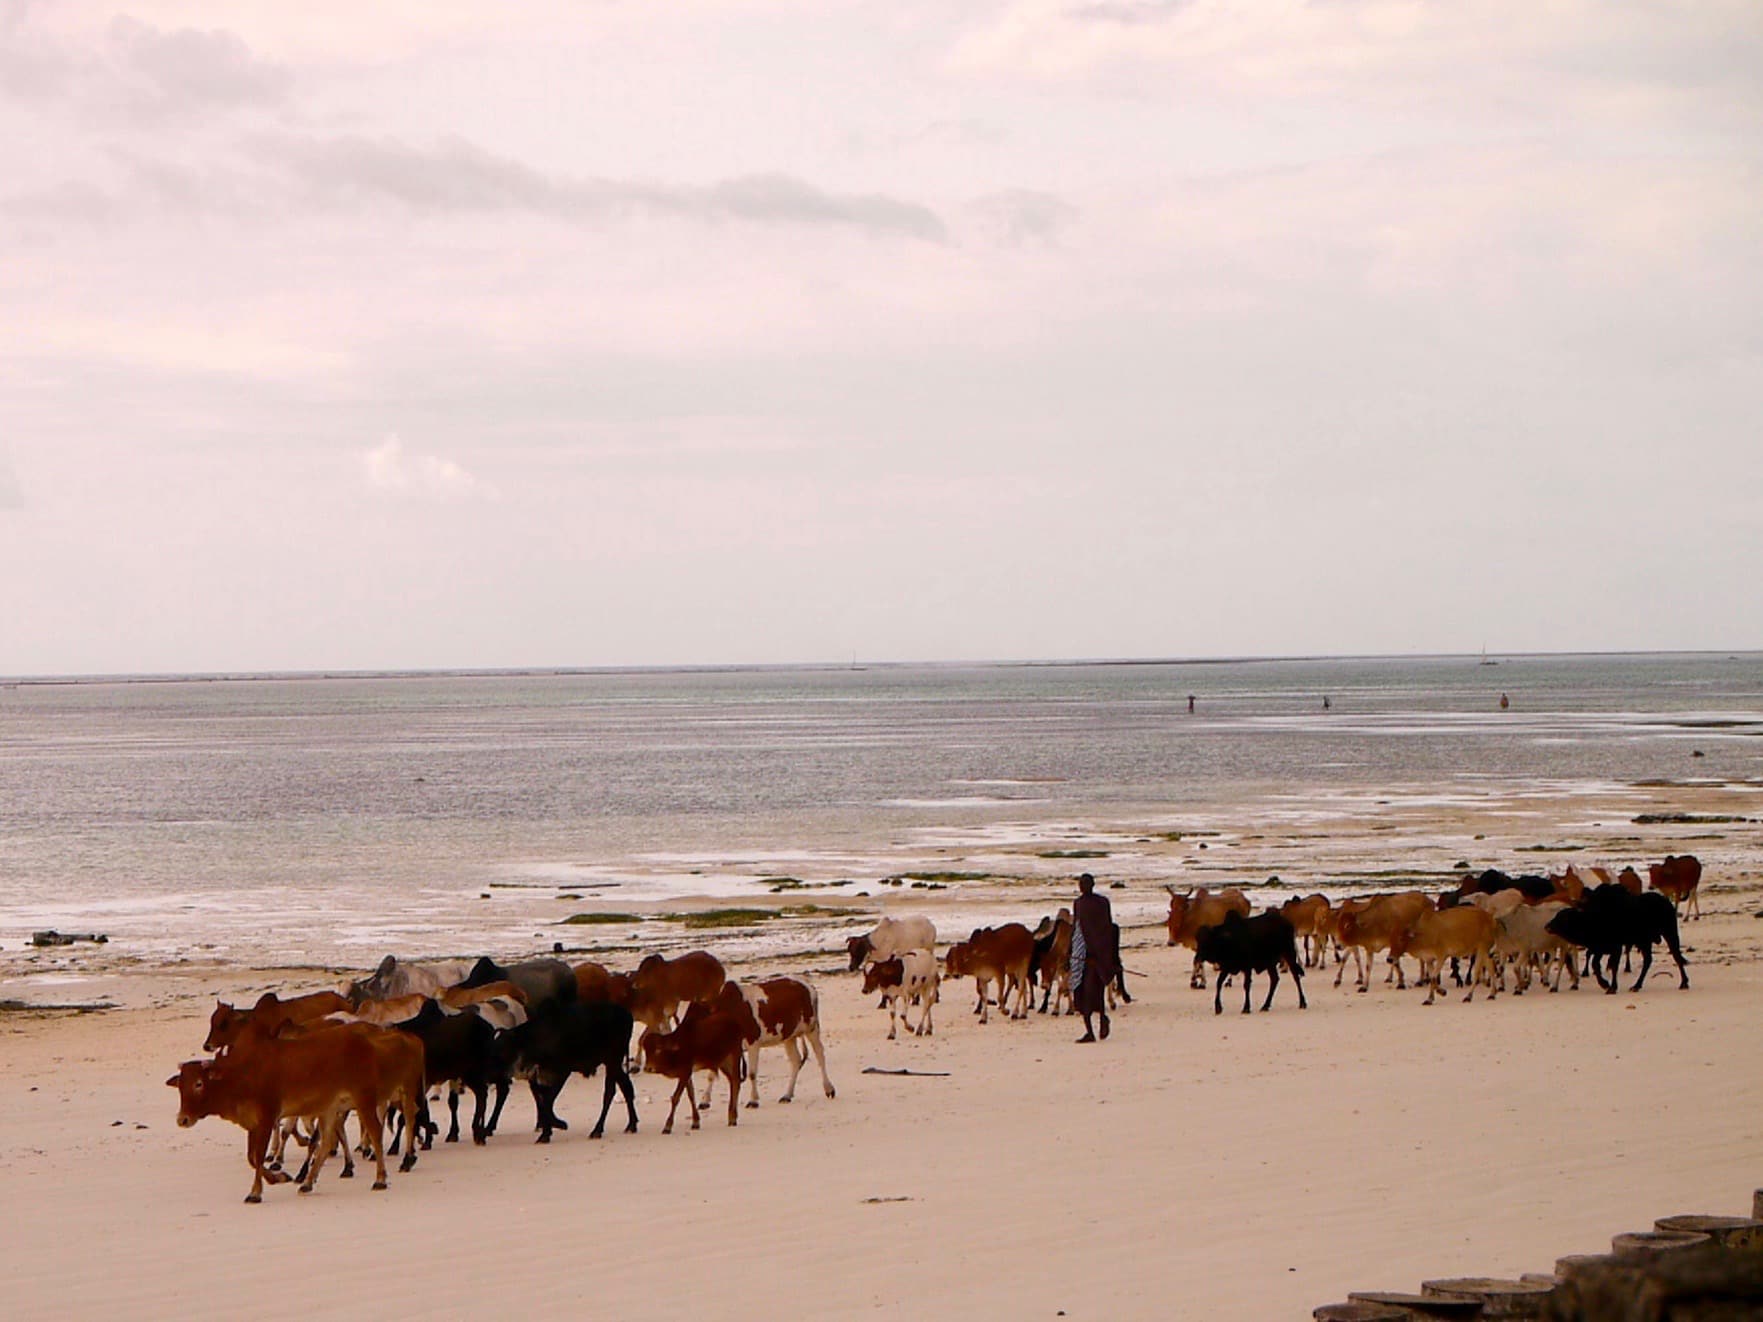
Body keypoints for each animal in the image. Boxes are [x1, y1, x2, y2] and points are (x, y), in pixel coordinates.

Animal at [493, 1001, 638, 1142]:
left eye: (504, 1048)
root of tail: (626, 1013)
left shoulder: (562, 1071)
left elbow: (547, 1101)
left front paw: (552, 1129)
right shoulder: (539, 1076)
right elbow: (543, 1100)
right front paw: (549, 1128)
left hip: (613, 1060)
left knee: (609, 1092)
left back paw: (597, 1130)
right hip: (613, 1063)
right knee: (626, 1087)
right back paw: (631, 1124)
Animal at [1551, 891, 1685, 994]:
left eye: (1561, 917)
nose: (1548, 926)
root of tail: (1666, 902)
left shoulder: (1616, 947)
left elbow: (1613, 966)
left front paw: (1611, 987)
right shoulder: (1599, 949)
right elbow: (1595, 964)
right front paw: (1604, 983)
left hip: (1669, 933)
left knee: (1676, 956)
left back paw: (1684, 983)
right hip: (1645, 942)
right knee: (1648, 960)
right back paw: (1637, 985)